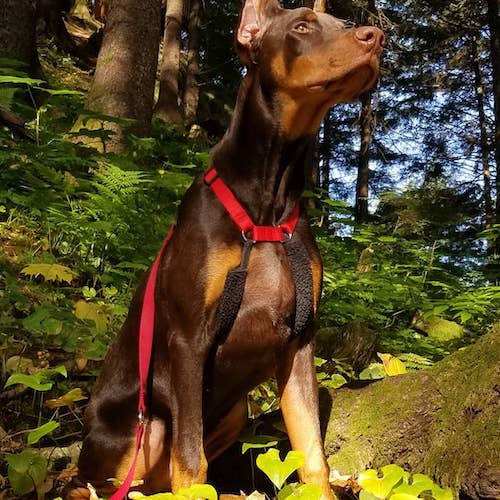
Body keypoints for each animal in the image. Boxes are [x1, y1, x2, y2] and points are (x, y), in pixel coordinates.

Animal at [71, 1, 382, 498]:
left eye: (344, 24)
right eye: (301, 26)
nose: (377, 38)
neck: (268, 207)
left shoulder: (300, 340)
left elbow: (312, 451)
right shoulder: (188, 339)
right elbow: (190, 460)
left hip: (236, 411)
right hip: (141, 429)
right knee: (96, 482)